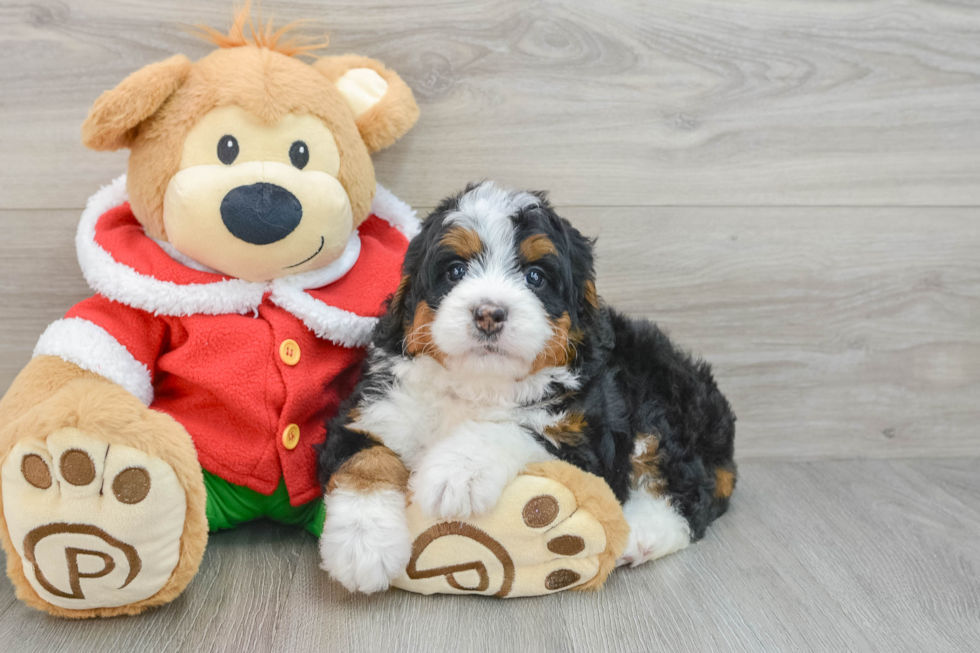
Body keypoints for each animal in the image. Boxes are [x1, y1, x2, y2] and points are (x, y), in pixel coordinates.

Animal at [314, 181, 736, 592]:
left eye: (535, 276)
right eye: (455, 270)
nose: (488, 313)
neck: (478, 383)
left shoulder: (586, 438)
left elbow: (515, 428)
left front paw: (455, 472)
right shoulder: (376, 409)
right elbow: (365, 459)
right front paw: (363, 546)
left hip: (664, 398)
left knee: (685, 489)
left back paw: (640, 533)